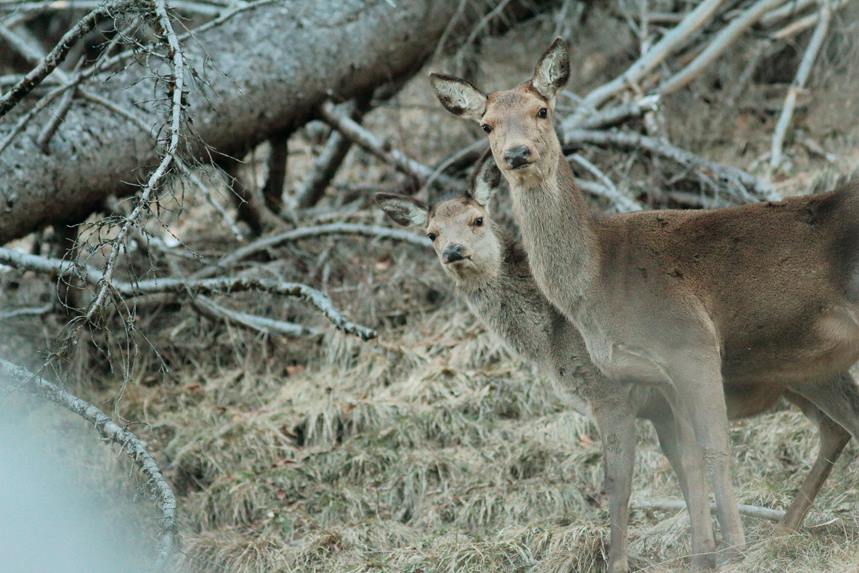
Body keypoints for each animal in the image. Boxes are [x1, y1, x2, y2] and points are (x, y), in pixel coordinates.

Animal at [434, 38, 859, 568]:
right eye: (486, 124)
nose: (516, 154)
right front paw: (702, 555)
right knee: (842, 425)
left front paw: (732, 551)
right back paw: (783, 530)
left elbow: (709, 452)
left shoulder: (688, 347)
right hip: (806, 366)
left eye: (542, 109)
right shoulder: (660, 381)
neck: (597, 285)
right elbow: (687, 464)